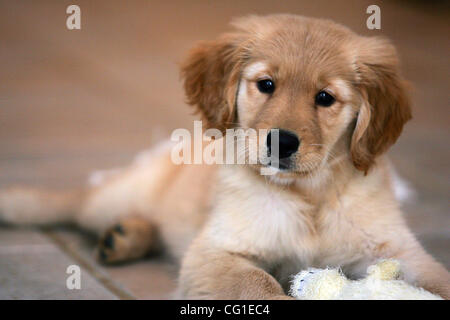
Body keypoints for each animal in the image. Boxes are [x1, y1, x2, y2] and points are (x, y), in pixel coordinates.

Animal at [0, 14, 450, 300]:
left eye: (325, 98)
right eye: (265, 84)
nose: (281, 142)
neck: (308, 195)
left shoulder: (399, 250)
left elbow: (438, 279)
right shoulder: (215, 252)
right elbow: (261, 284)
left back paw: (125, 237)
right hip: (118, 196)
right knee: (76, 202)